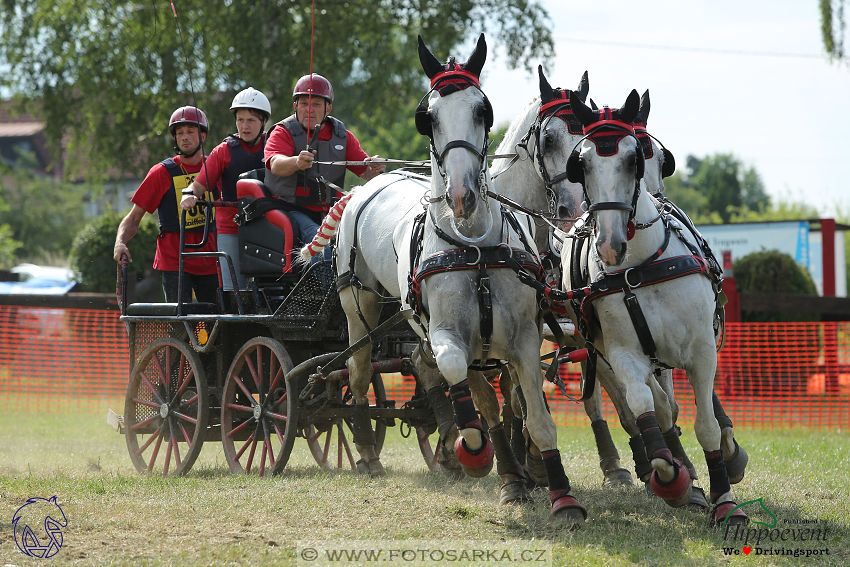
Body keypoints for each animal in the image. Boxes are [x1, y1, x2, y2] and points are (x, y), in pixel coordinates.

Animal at [556, 89, 748, 528]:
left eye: (635, 157)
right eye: (582, 163)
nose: (609, 244)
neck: (639, 268)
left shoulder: (702, 352)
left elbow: (707, 427)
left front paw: (725, 501)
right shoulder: (622, 354)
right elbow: (646, 408)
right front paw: (669, 476)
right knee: (659, 406)